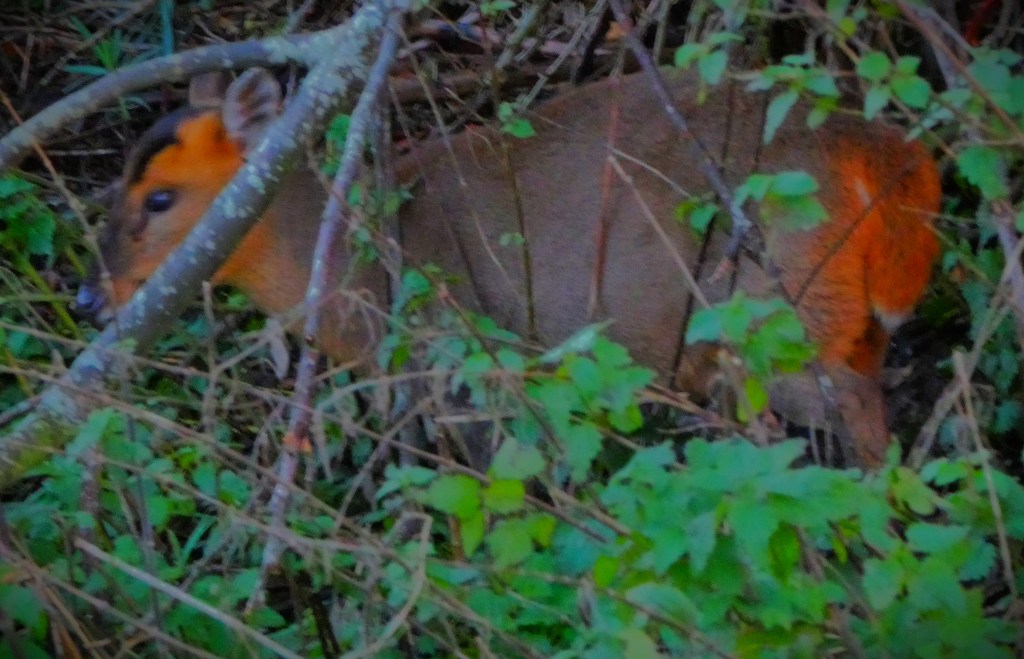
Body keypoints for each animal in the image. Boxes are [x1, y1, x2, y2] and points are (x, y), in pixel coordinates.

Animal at [75, 67, 941, 467]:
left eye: (160, 198)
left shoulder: (476, 362)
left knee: (861, 414)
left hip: (777, 310)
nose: (89, 298)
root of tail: (874, 150)